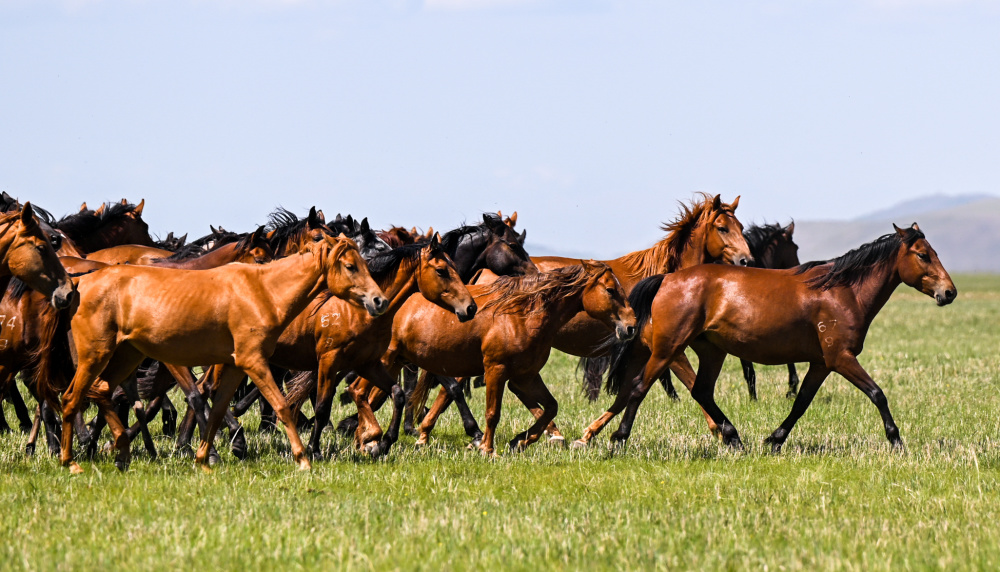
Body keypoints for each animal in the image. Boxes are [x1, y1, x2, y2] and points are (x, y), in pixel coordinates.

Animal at [386, 262, 636, 456]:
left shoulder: (526, 376)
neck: (522, 315)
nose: (631, 326)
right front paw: (487, 449)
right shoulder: (496, 370)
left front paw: (521, 441)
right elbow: (492, 413)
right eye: (610, 290)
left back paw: (422, 436)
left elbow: (551, 407)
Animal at [584, 223, 956, 452]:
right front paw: (896, 441)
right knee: (639, 388)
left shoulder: (822, 363)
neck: (843, 291)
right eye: (923, 255)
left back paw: (734, 438)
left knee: (701, 391)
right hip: (667, 349)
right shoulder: (841, 358)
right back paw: (619, 438)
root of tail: (666, 279)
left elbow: (802, 401)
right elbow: (878, 394)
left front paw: (775, 439)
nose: (949, 292)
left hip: (710, 351)